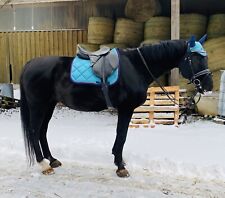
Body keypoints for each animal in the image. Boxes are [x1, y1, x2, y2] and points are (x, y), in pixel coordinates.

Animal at [19, 35, 213, 176]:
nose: (208, 86)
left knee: (42, 131)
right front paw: (120, 166)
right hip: (38, 105)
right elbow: (122, 135)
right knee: (34, 131)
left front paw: (119, 161)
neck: (137, 67)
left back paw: (52, 160)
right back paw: (44, 165)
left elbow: (121, 135)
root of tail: (29, 64)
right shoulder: (126, 108)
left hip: (49, 105)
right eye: (194, 58)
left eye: (206, 57)